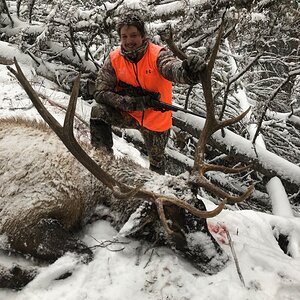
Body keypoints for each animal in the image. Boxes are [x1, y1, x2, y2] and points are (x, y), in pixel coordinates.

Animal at [0, 22, 252, 290]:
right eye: (171, 223)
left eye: (201, 208)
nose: (219, 260)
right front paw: (16, 273)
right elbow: (83, 253)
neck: (90, 191)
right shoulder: (19, 217)